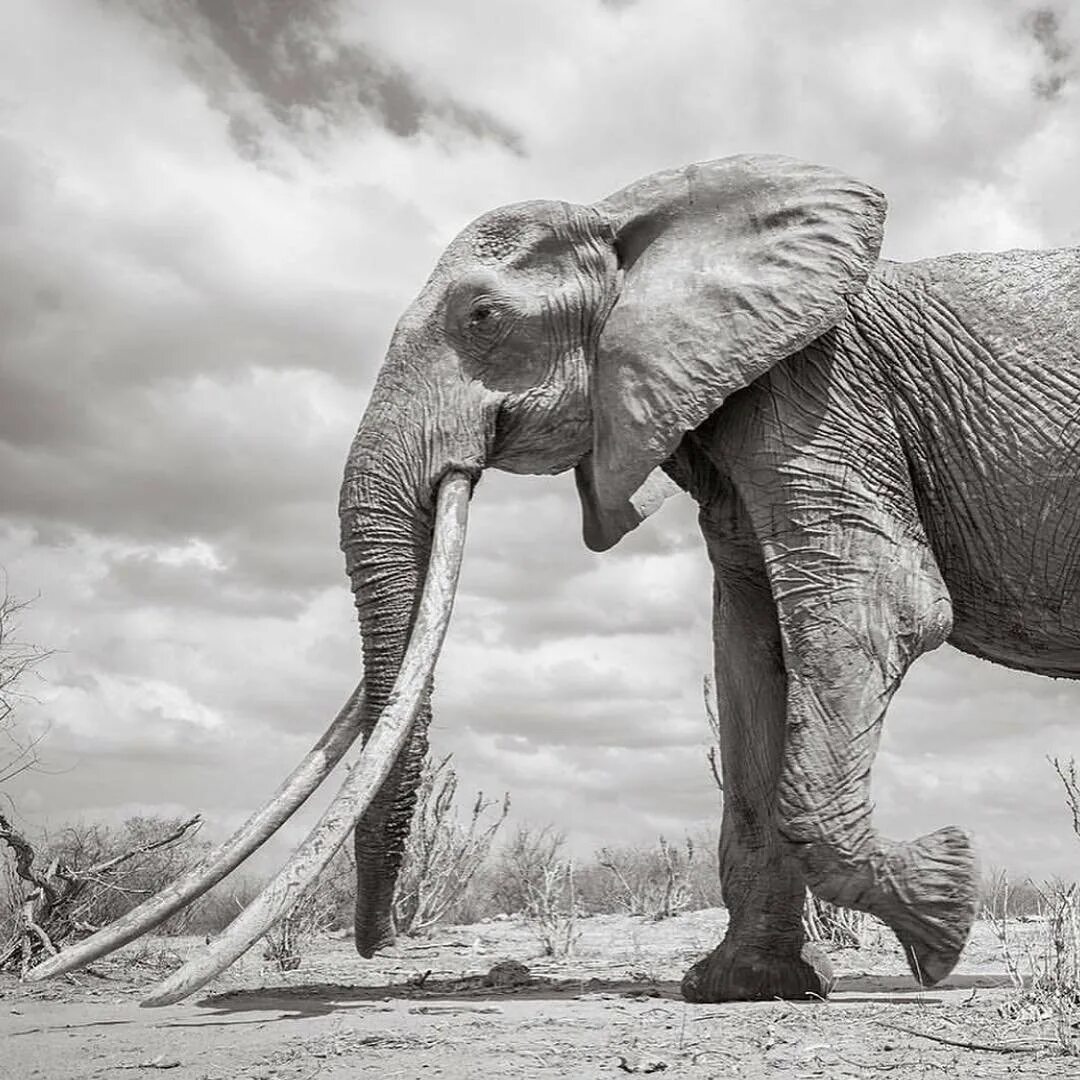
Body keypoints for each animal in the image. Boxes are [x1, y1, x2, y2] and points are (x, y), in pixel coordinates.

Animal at [29, 156, 1080, 1006]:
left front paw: (943, 916)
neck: (633, 219)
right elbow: (751, 659)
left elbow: (879, 610)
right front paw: (737, 990)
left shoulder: (820, 390)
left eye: (483, 318)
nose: (384, 943)